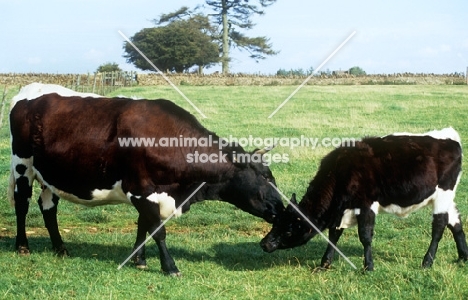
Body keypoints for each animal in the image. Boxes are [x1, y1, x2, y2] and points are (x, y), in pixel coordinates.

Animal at [9, 82, 284, 276]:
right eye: (266, 176)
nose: (280, 208)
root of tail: (28, 90)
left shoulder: (150, 194)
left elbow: (143, 226)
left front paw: (139, 260)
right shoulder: (141, 189)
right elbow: (157, 230)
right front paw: (170, 267)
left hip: (49, 173)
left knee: (48, 207)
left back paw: (60, 248)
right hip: (23, 165)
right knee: (22, 204)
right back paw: (22, 247)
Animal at [260, 127, 468, 270]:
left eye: (289, 230)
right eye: (276, 222)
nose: (264, 243)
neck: (340, 171)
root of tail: (450, 137)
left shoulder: (366, 204)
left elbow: (365, 236)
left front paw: (368, 266)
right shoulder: (341, 210)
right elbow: (334, 235)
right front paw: (325, 263)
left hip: (443, 194)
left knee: (439, 225)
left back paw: (427, 261)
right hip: (447, 197)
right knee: (455, 222)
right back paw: (463, 257)